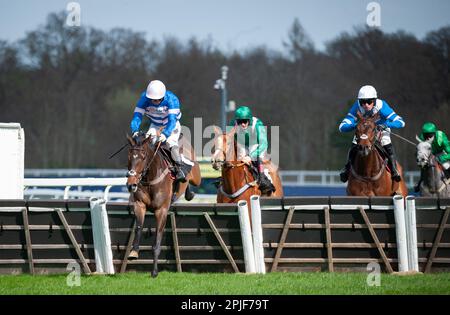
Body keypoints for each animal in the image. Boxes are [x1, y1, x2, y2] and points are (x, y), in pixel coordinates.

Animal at [124, 132, 200, 278]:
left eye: (143, 157)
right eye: (129, 157)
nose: (131, 184)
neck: (151, 178)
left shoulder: (161, 211)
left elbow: (157, 241)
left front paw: (154, 272)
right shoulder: (139, 205)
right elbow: (139, 227)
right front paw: (134, 252)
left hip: (197, 176)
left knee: (194, 180)